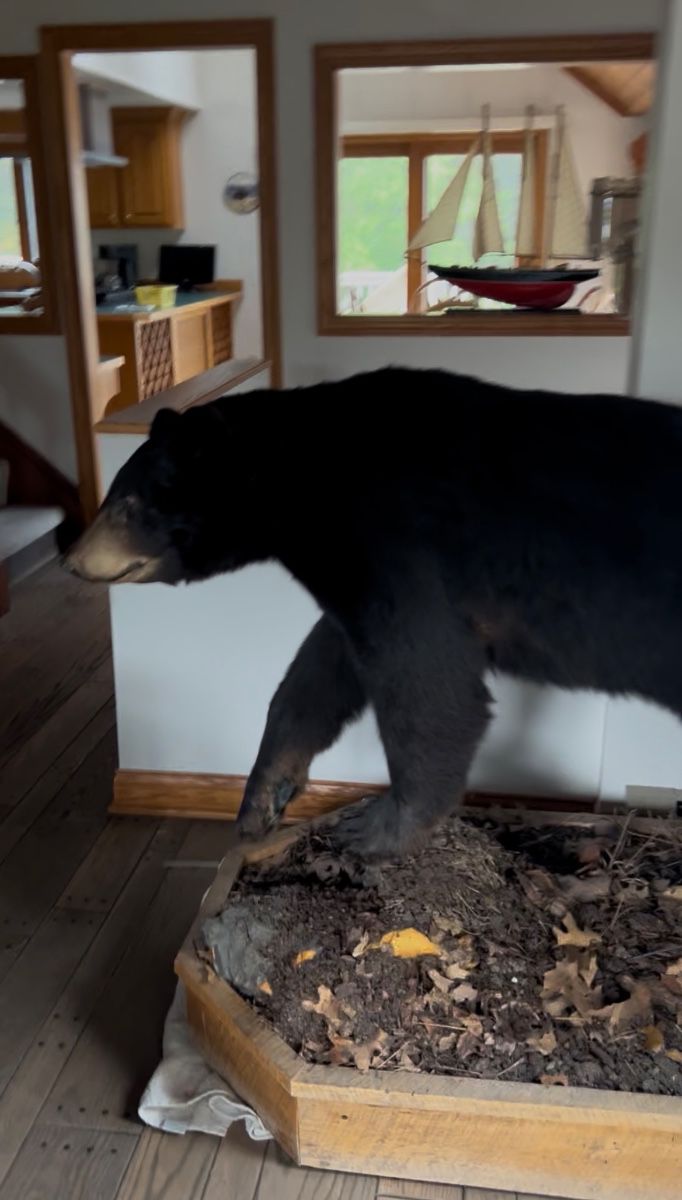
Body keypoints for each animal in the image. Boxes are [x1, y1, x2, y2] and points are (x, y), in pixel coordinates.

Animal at [66, 366, 682, 858]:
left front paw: (377, 827)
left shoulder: (395, 538)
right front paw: (262, 797)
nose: (71, 560)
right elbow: (322, 669)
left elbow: (429, 684)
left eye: (124, 501)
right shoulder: (355, 569)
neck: (302, 479)